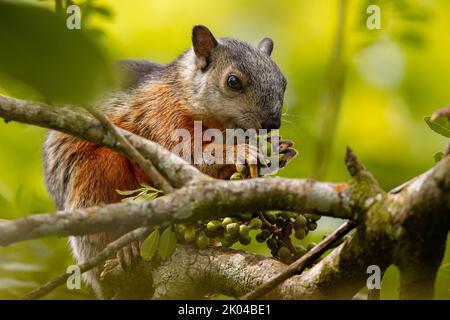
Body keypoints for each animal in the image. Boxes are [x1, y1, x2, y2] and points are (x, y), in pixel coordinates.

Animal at [44, 24, 294, 298]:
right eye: (233, 82)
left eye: (283, 83)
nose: (272, 123)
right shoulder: (161, 115)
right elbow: (184, 153)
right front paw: (239, 151)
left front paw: (281, 150)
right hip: (95, 178)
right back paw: (126, 247)